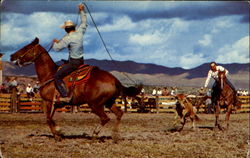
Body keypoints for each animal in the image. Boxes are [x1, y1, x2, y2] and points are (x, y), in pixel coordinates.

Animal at [9, 37, 142, 141]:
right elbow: (50, 119)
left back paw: (95, 135)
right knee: (119, 113)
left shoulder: (48, 102)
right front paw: (58, 133)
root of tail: (114, 79)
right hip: (109, 102)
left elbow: (48, 119)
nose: (11, 56)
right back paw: (115, 136)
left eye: (26, 47)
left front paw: (58, 134)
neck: (50, 75)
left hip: (95, 104)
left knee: (105, 118)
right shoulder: (54, 104)